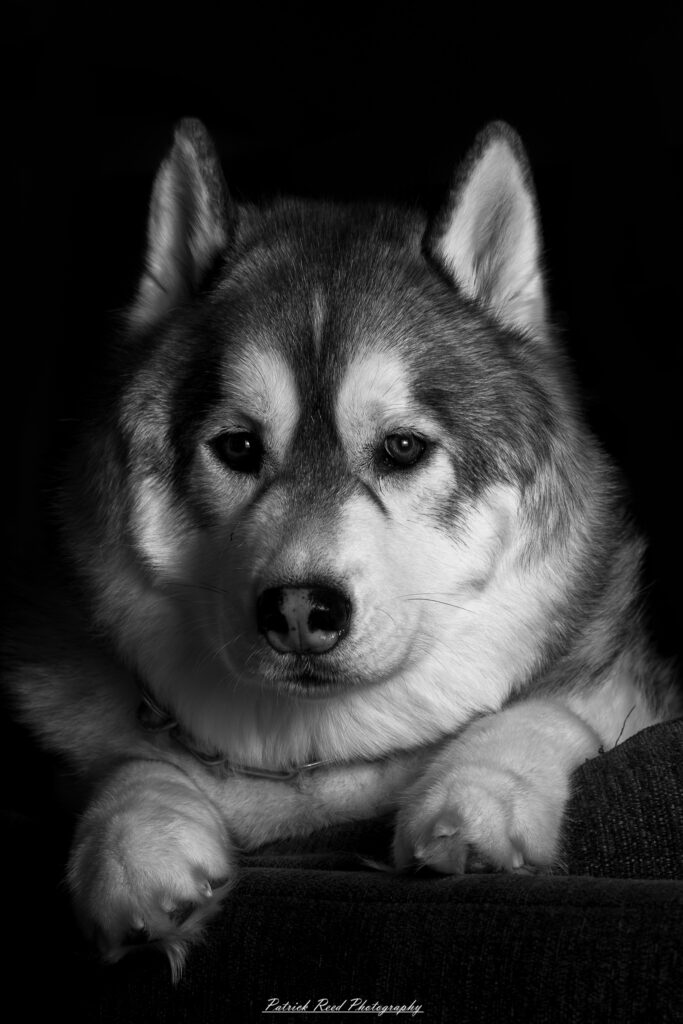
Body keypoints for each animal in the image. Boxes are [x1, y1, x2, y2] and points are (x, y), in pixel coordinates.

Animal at [5, 117, 679, 974]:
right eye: (237, 447)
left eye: (401, 448)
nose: (299, 608)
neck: (309, 762)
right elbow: (123, 765)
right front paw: (135, 845)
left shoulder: (623, 693)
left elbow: (548, 711)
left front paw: (478, 794)